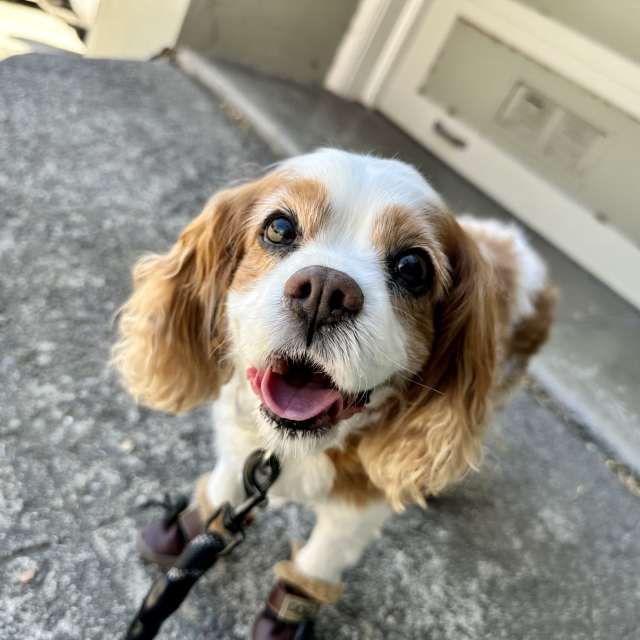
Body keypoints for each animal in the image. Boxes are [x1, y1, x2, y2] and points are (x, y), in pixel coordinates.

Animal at [114, 151, 556, 640]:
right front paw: (197, 526)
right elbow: (226, 482)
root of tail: (515, 243)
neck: (290, 449)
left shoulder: (357, 507)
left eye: (412, 267)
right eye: (279, 227)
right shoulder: (239, 442)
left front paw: (288, 611)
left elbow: (319, 560)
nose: (325, 290)